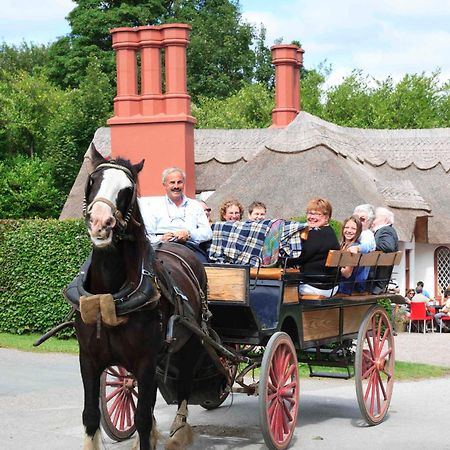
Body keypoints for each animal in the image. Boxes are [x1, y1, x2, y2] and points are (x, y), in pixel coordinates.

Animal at [75, 146, 211, 448]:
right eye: (93, 181)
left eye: (127, 190)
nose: (100, 223)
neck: (110, 296)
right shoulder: (88, 358)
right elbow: (91, 416)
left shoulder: (145, 359)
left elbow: (142, 418)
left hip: (190, 343)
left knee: (183, 386)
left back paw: (179, 429)